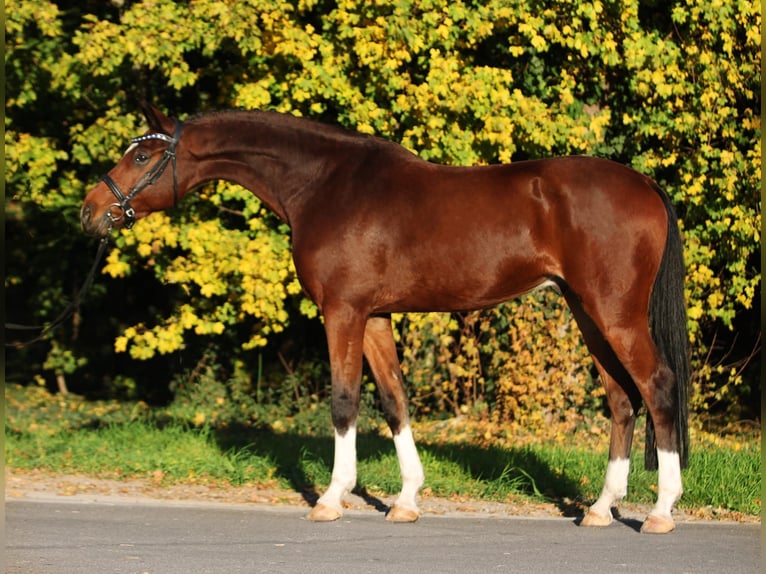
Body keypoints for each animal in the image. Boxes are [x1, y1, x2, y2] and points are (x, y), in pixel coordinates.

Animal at [81, 103, 692, 536]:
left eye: (141, 157)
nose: (91, 211)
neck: (326, 185)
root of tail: (645, 185)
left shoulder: (343, 312)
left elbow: (345, 401)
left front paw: (331, 498)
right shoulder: (375, 316)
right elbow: (395, 400)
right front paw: (405, 500)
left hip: (614, 313)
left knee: (657, 386)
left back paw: (660, 511)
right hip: (586, 312)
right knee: (621, 399)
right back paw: (600, 508)